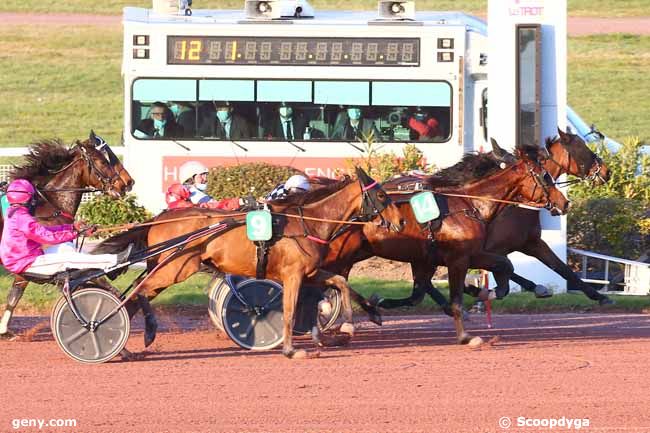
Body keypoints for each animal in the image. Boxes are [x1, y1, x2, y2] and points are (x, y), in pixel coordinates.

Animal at [93, 167, 402, 360]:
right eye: (382, 195)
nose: (399, 222)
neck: (305, 223)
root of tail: (158, 218)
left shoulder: (311, 272)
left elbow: (340, 284)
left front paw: (347, 327)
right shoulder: (292, 275)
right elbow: (289, 311)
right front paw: (291, 349)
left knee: (133, 298)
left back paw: (122, 347)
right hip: (173, 269)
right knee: (137, 293)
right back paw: (137, 330)